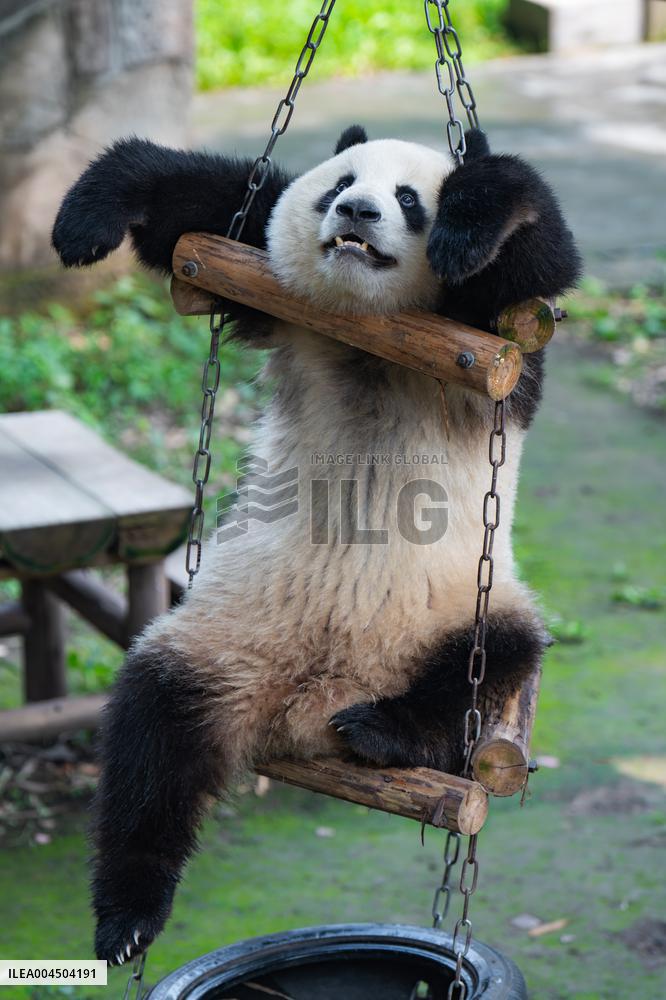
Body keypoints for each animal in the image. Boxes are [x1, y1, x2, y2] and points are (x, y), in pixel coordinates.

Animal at [52, 124, 580, 965]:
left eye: (409, 199)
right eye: (341, 183)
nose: (358, 212)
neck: (371, 339)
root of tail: (307, 701)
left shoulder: (494, 351)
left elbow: (534, 263)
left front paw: (470, 223)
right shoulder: (273, 300)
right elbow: (211, 207)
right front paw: (85, 222)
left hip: (455, 603)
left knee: (498, 652)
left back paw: (383, 731)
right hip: (227, 640)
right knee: (154, 733)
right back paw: (128, 914)